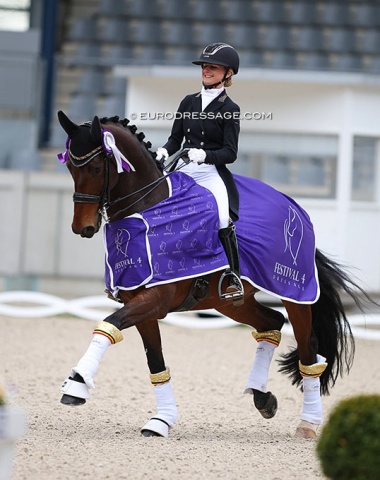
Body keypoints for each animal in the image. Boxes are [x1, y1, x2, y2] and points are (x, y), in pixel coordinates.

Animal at [56, 111, 366, 438]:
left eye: (97, 167)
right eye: (69, 167)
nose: (82, 227)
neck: (151, 206)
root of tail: (296, 208)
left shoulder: (156, 299)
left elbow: (108, 325)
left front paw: (76, 384)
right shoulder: (140, 301)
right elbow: (155, 362)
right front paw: (161, 421)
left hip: (294, 291)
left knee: (308, 349)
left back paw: (307, 423)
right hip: (227, 301)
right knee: (271, 323)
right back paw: (261, 396)